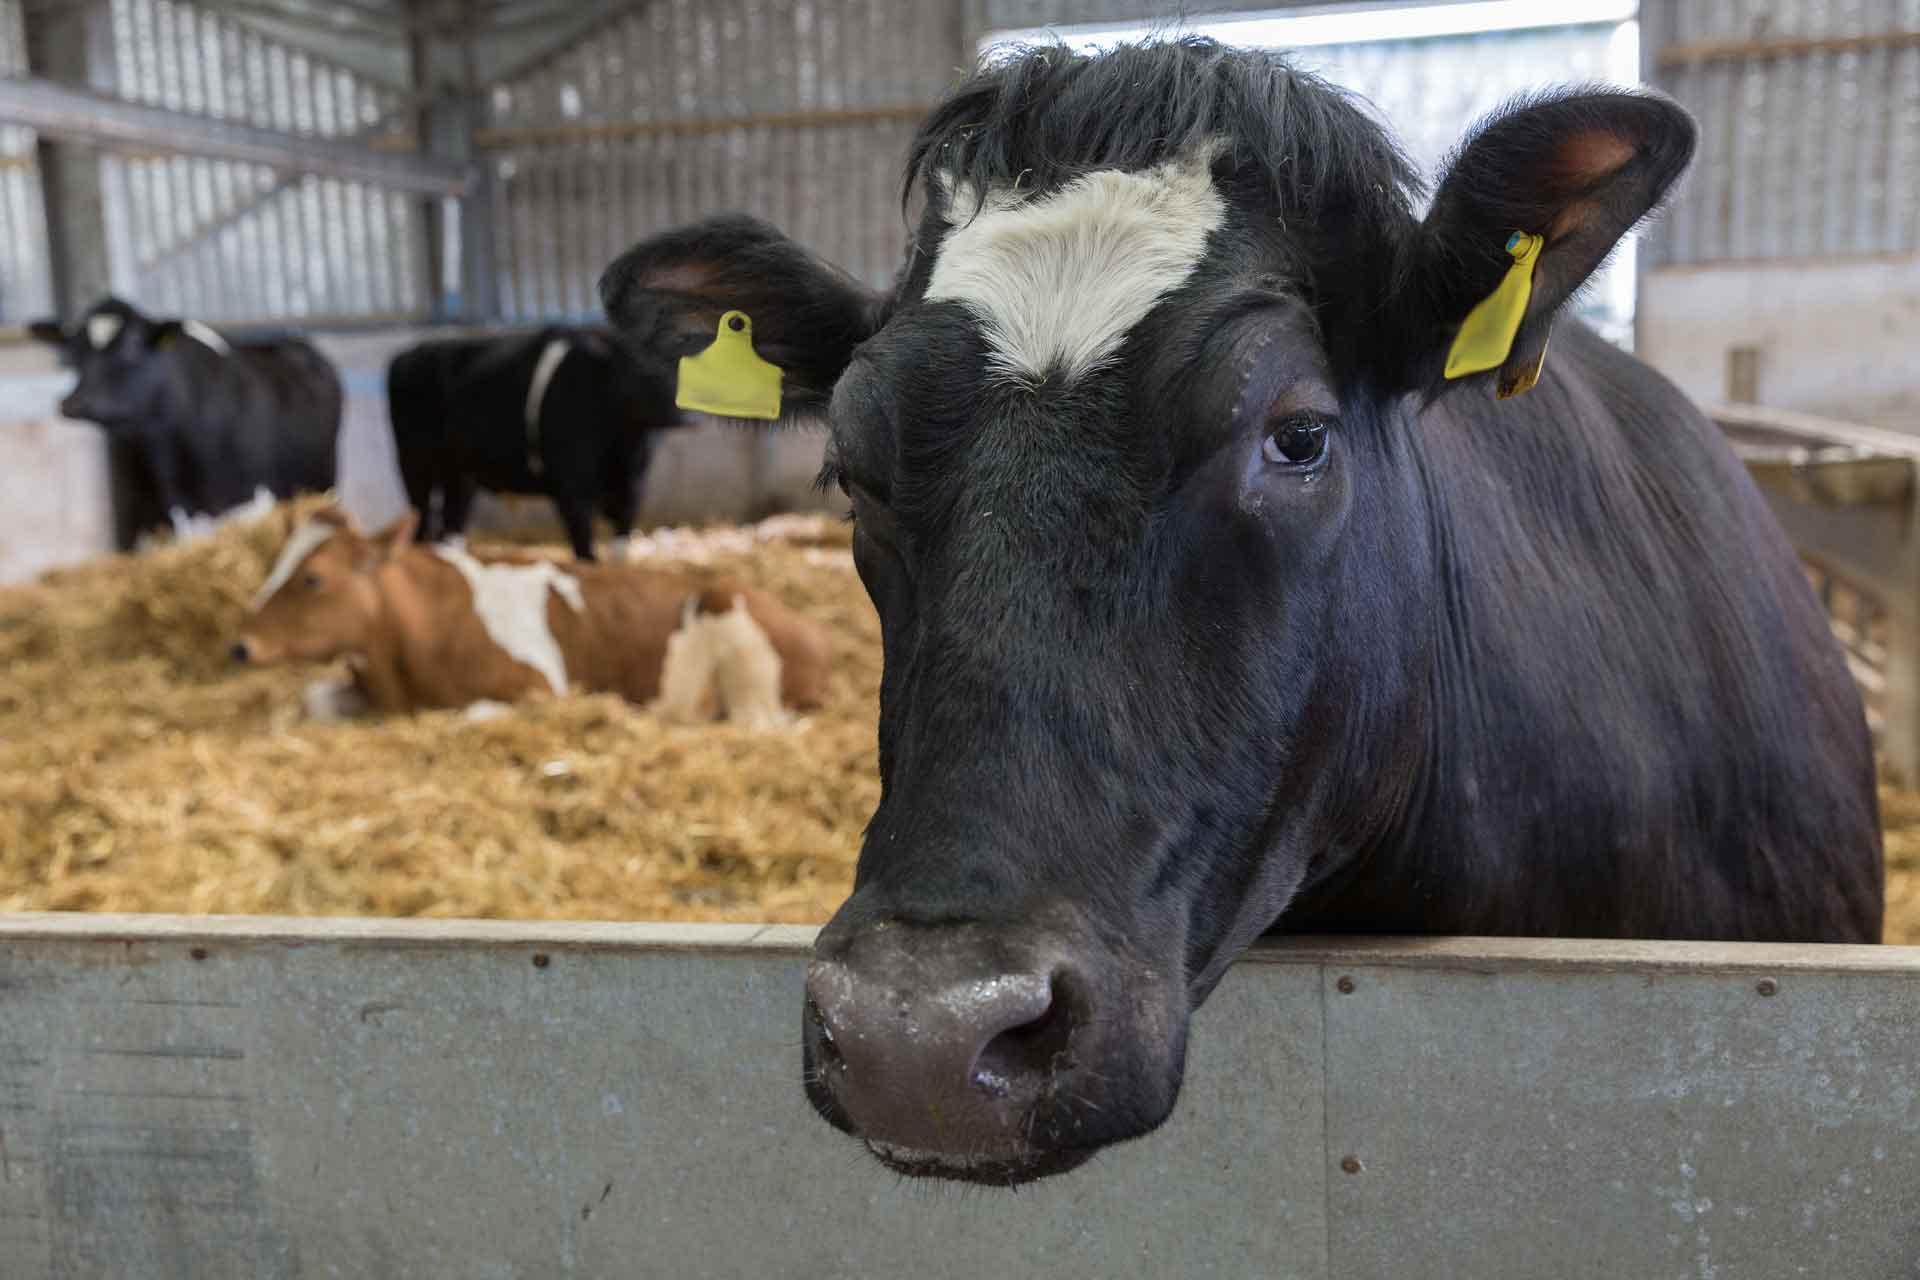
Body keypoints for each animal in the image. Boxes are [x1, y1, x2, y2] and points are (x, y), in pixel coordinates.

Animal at [30, 297, 341, 545]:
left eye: (131, 347)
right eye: (74, 353)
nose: (72, 402)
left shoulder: (254, 500)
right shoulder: (181, 508)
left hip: (322, 480)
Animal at [230, 506, 825, 725]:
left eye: (313, 578)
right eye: (273, 563)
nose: (239, 646)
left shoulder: (540, 686)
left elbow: (467, 715)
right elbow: (313, 700)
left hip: (737, 641)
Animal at [387, 326, 683, 560]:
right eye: (644, 372)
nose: (683, 412)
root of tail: (409, 354)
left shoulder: (631, 490)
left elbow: (619, 552)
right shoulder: (572, 491)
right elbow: (585, 552)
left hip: (459, 474)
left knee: (451, 523)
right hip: (413, 465)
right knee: (421, 521)